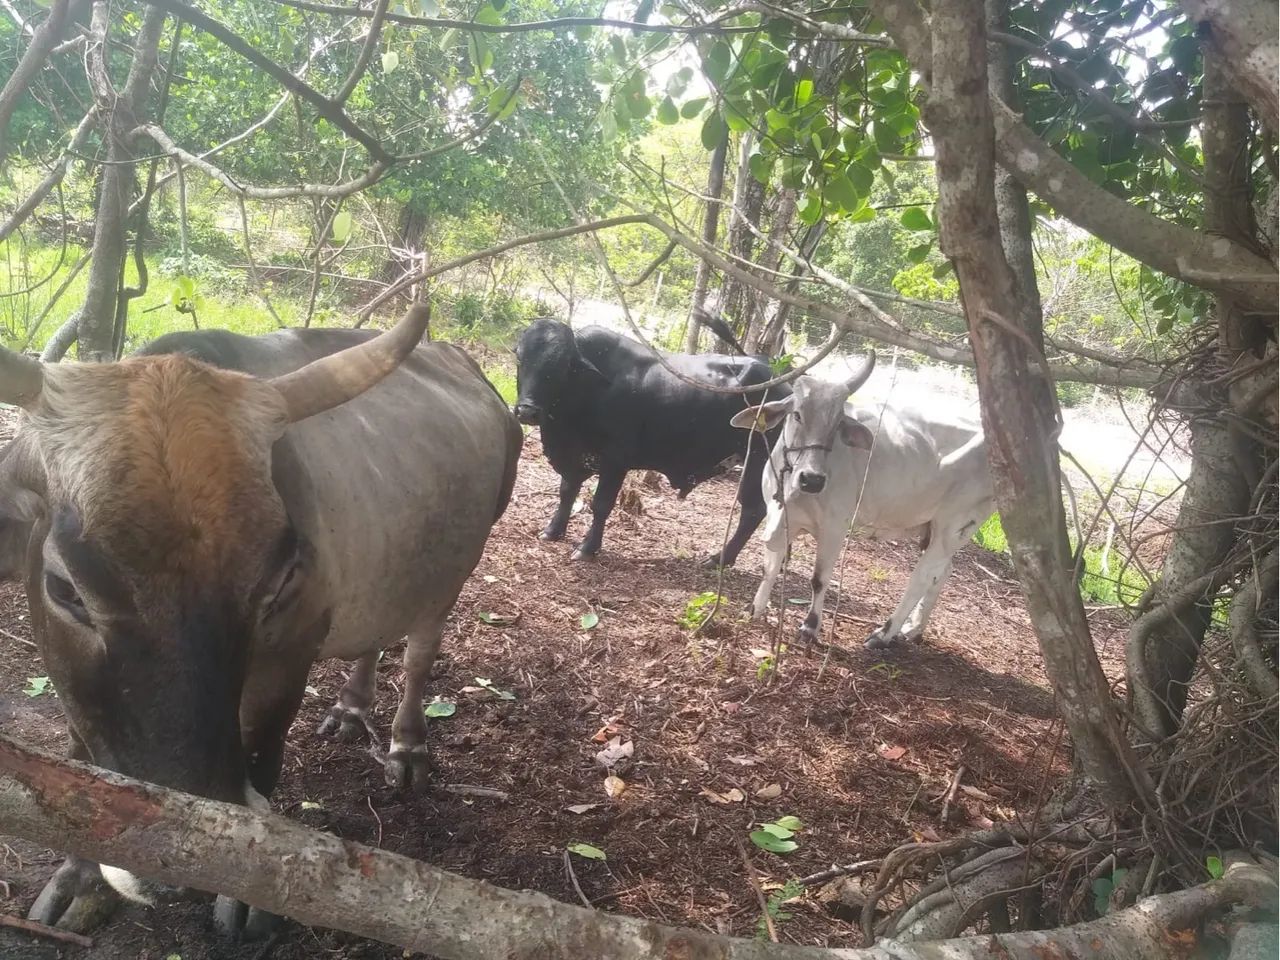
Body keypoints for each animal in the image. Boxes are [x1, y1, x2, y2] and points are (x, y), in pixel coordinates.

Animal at [0, 304, 521, 937]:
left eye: (276, 583)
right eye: (63, 588)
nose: (175, 853)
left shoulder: (291, 651)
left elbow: (262, 748)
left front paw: (244, 895)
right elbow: (79, 760)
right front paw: (80, 879)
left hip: (452, 575)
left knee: (420, 655)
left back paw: (407, 746)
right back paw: (351, 709)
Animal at [512, 318, 788, 565]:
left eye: (562, 366)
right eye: (520, 358)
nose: (527, 411)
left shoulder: (615, 461)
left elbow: (601, 504)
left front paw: (588, 548)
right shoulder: (574, 458)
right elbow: (567, 492)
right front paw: (553, 531)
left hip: (758, 461)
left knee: (752, 511)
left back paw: (719, 559)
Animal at [730, 353, 996, 649]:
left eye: (838, 423)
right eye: (797, 414)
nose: (813, 479)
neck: (791, 486)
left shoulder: (834, 527)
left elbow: (819, 579)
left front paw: (810, 627)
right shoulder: (778, 516)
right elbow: (770, 567)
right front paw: (754, 609)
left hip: (955, 523)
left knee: (924, 576)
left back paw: (884, 633)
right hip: (938, 530)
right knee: (942, 571)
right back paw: (914, 628)